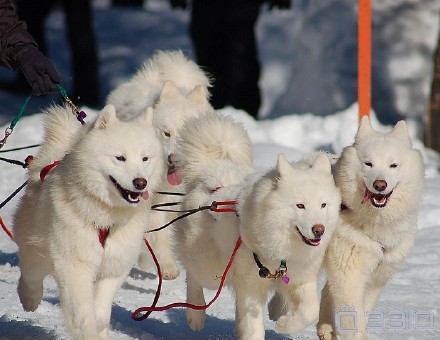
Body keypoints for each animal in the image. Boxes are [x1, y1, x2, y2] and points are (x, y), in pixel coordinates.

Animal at [14, 105, 165, 338]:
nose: (141, 183)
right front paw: (88, 329)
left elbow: (101, 310)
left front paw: (100, 325)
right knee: (30, 274)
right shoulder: (75, 265)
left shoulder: (114, 265)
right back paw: (29, 299)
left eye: (145, 159)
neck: (105, 215)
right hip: (38, 249)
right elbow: (82, 312)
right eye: (120, 158)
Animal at [316, 115, 426, 338]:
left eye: (393, 165)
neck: (375, 222)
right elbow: (354, 320)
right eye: (368, 164)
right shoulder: (349, 275)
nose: (380, 185)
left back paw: (325, 328)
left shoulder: (375, 278)